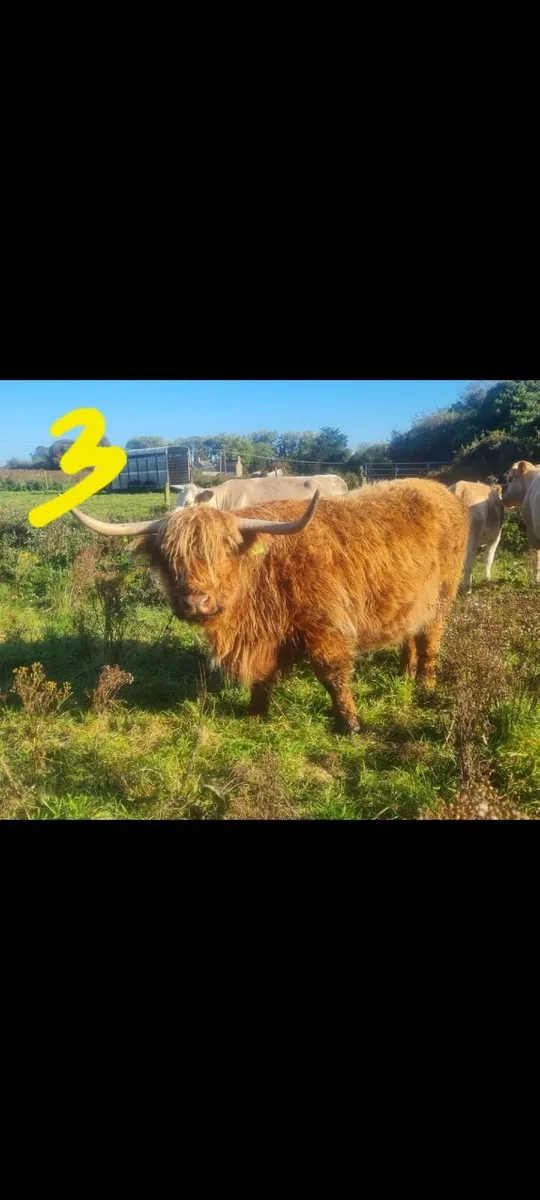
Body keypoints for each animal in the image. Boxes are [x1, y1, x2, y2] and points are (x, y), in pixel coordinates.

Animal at [69, 477, 469, 735]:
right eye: (169, 557)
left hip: (442, 597)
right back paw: (404, 673)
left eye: (225, 551)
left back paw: (424, 685)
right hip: (413, 603)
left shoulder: (325, 628)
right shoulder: (261, 636)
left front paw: (350, 723)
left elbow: (333, 675)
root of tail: (439, 489)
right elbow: (262, 676)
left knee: (430, 641)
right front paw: (256, 714)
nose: (196, 602)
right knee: (410, 635)